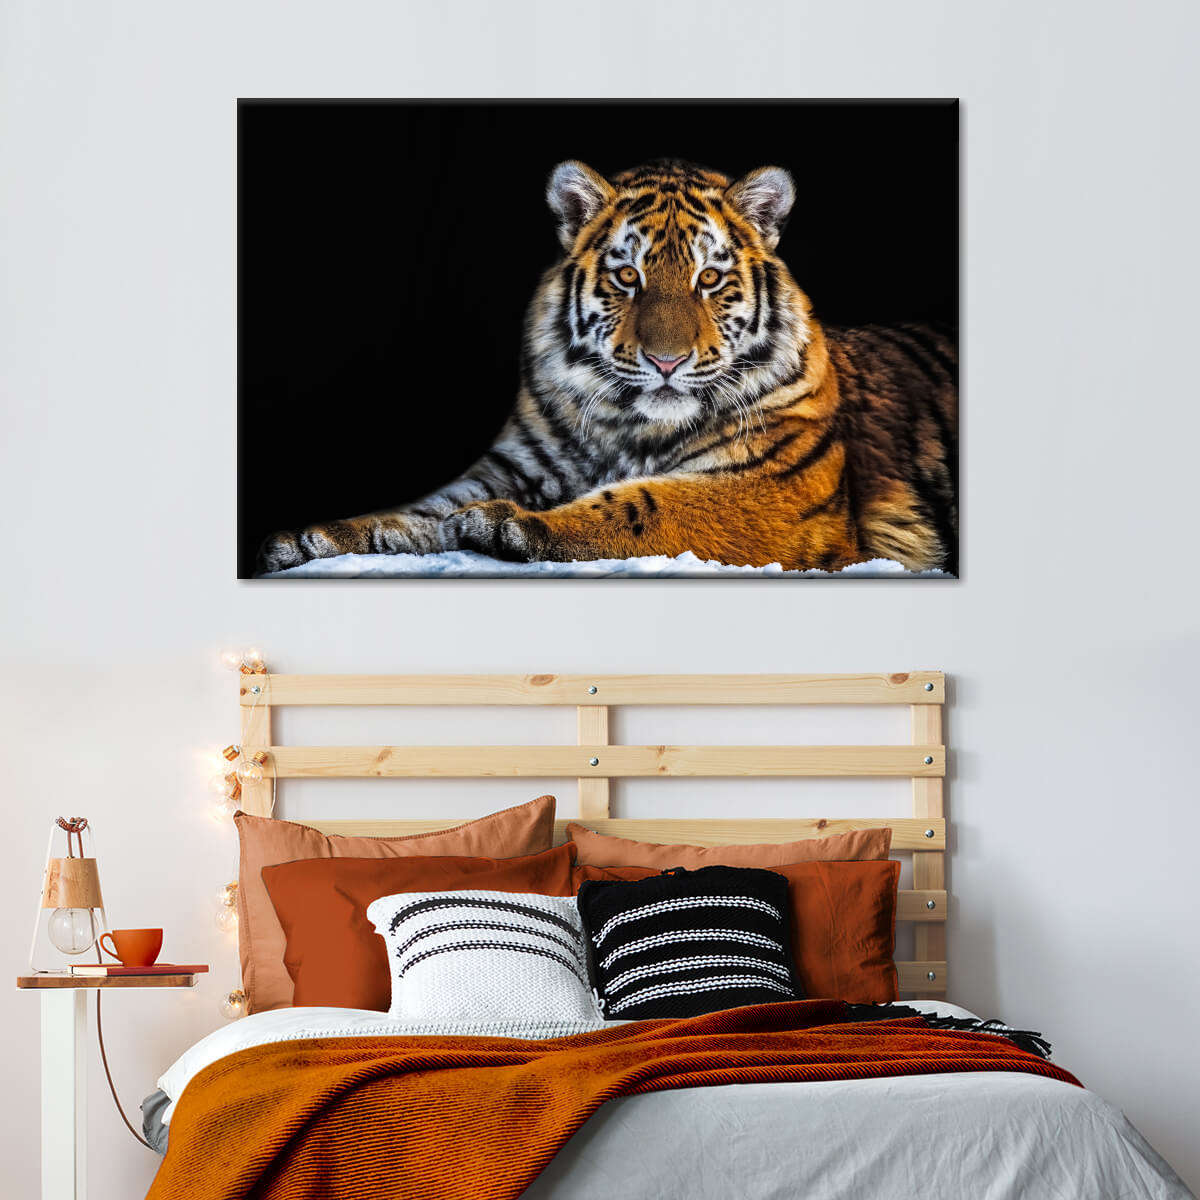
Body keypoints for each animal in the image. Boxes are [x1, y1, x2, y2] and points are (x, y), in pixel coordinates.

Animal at [257, 158, 957, 575]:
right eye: (628, 277)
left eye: (709, 280)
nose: (667, 361)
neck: (628, 427)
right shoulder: (511, 466)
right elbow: (421, 511)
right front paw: (317, 538)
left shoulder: (772, 490)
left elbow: (647, 505)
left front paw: (509, 526)